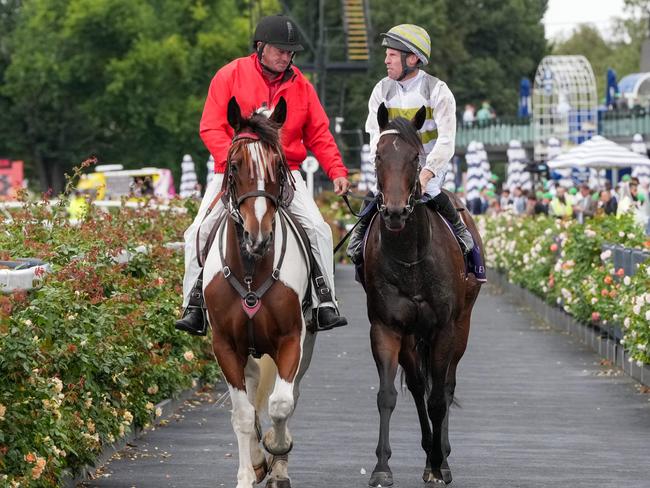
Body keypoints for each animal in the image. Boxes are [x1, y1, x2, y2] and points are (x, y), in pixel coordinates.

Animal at [202, 96, 314, 488]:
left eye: (278, 166)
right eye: (234, 166)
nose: (258, 236)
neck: (251, 268)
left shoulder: (292, 338)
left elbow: (281, 403)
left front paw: (277, 450)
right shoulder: (224, 345)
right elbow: (241, 413)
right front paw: (247, 475)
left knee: (289, 394)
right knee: (250, 398)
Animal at [364, 105, 480, 486]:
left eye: (415, 158)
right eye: (377, 155)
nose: (395, 211)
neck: (411, 257)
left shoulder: (445, 326)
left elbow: (439, 398)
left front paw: (439, 466)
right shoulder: (386, 326)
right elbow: (388, 395)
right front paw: (382, 467)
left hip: (462, 324)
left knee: (445, 386)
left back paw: (440, 456)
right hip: (412, 337)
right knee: (417, 386)